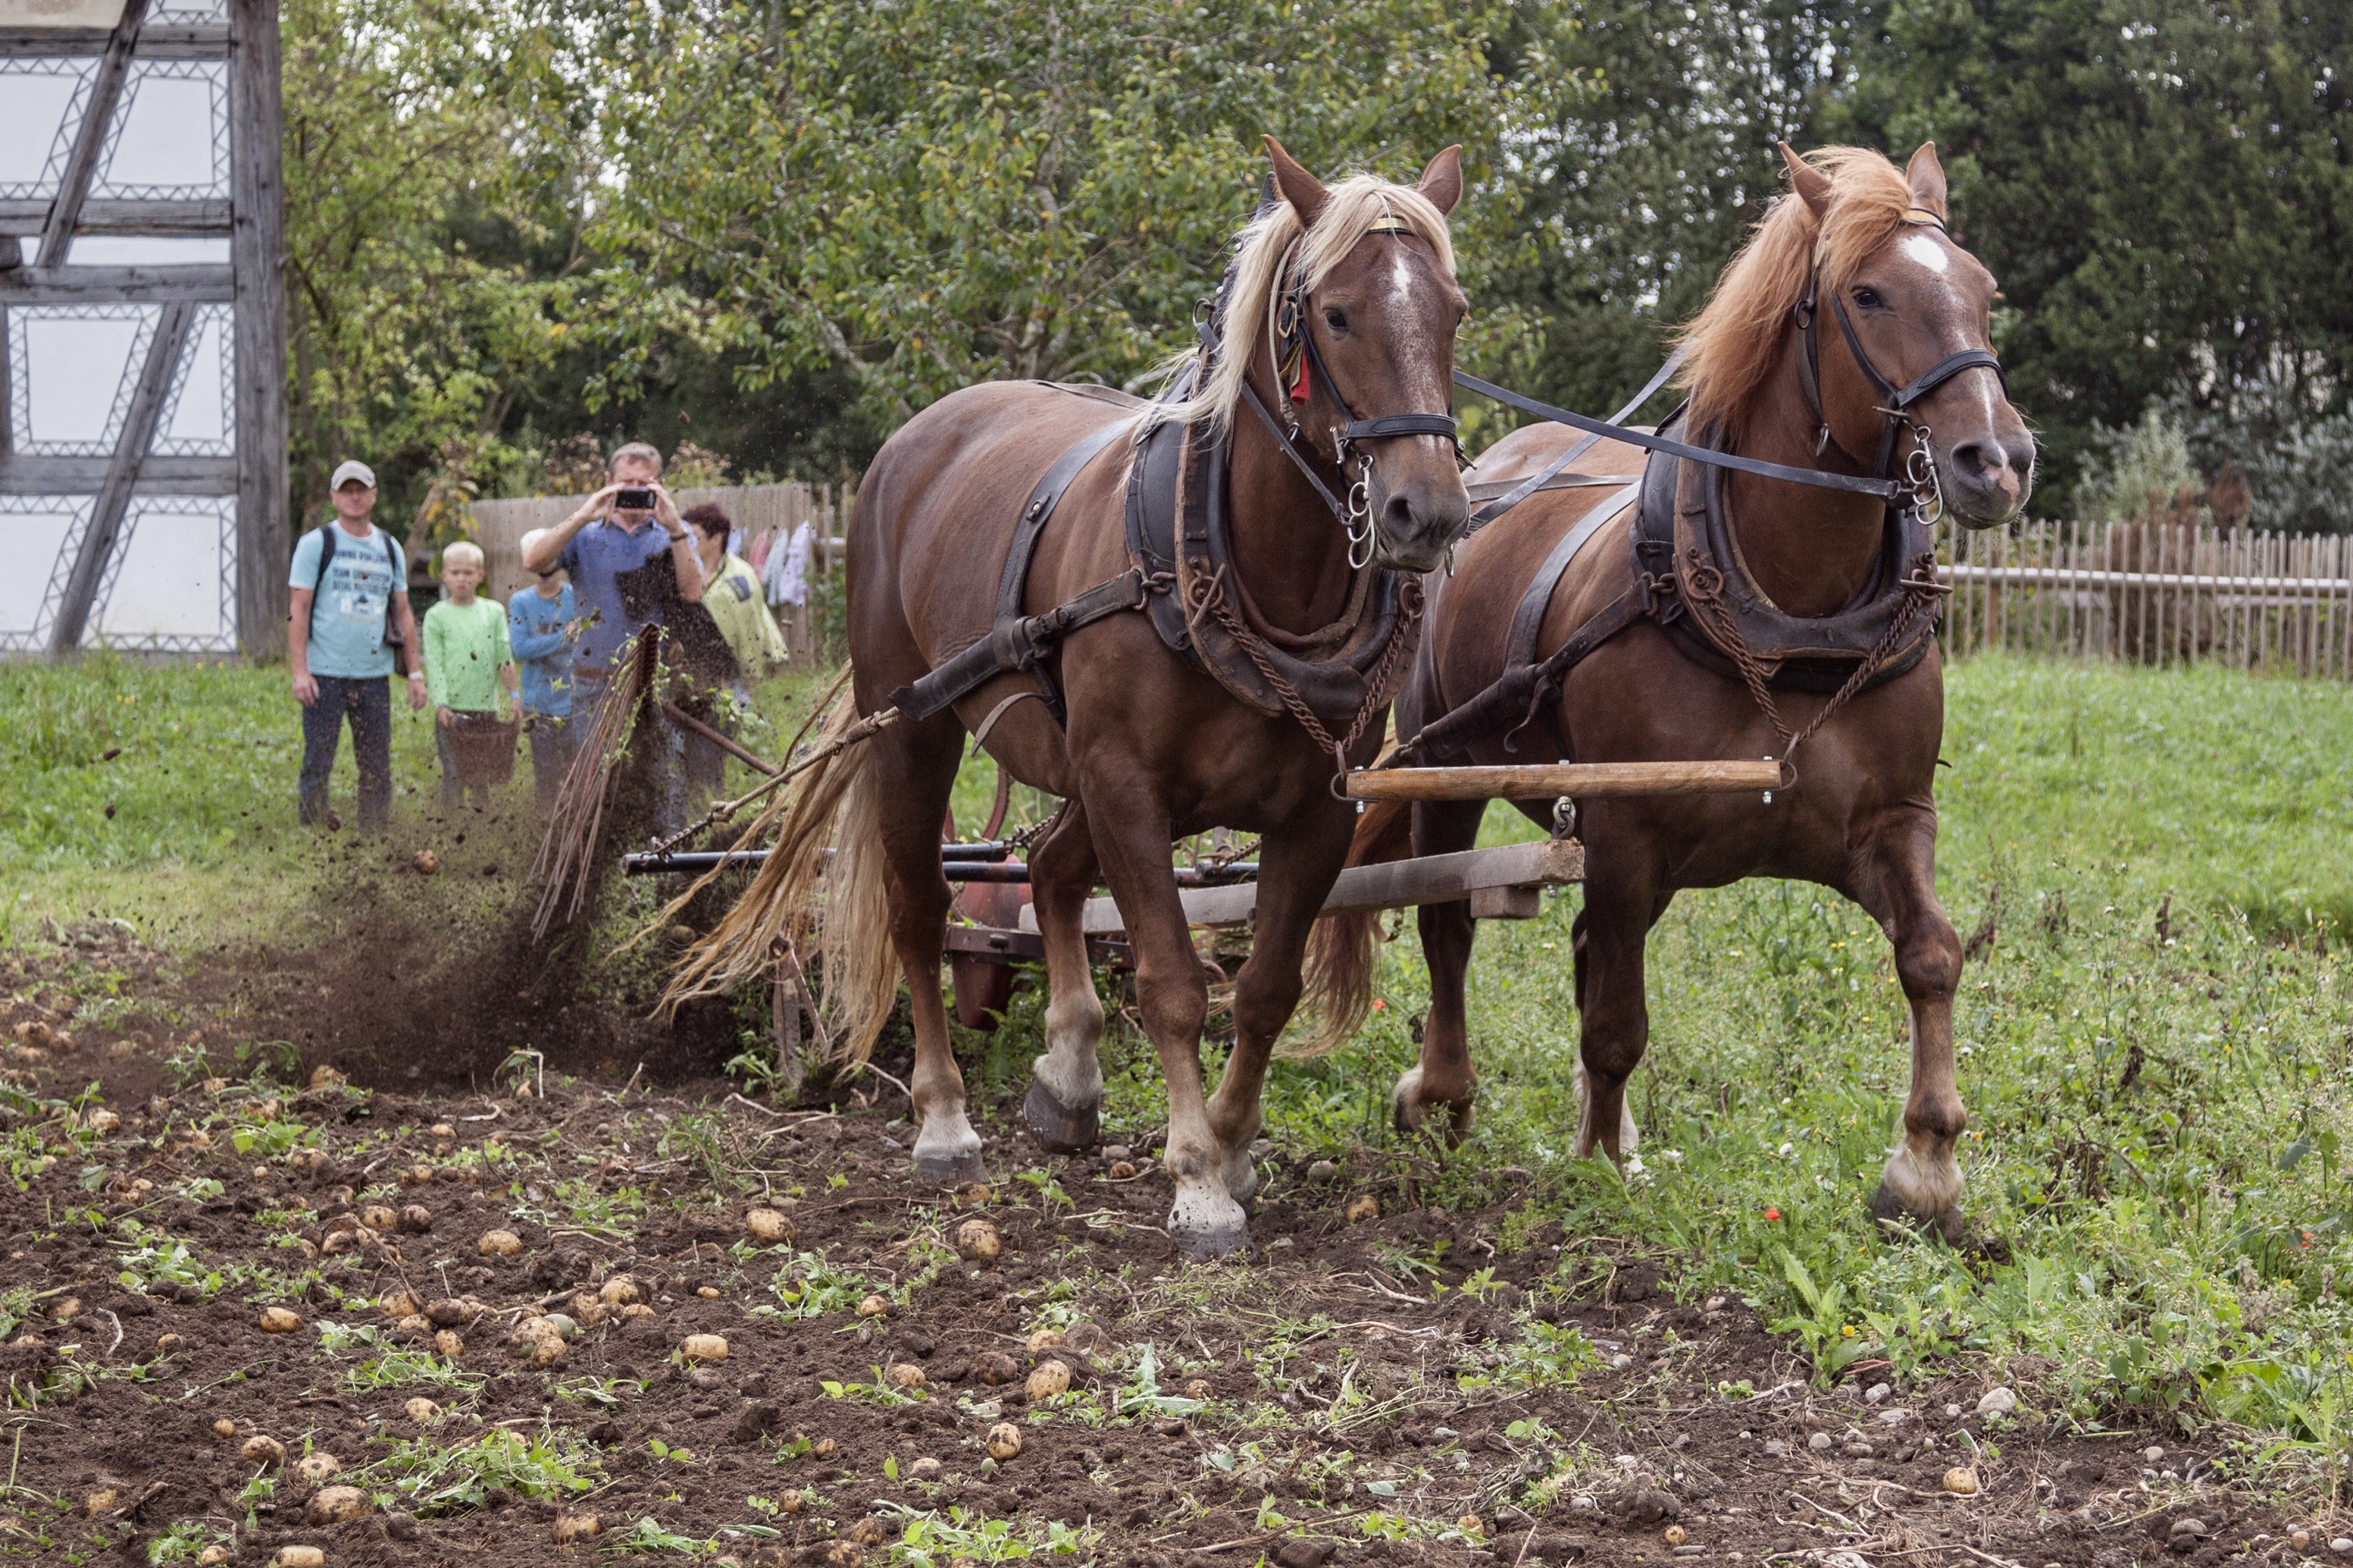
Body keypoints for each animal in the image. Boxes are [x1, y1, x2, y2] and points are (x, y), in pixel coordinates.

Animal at [663, 140, 1468, 1252]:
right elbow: (1173, 982)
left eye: (1453, 311)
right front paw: (1197, 1176)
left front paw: (1232, 1142)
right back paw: (945, 1121)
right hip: (916, 729)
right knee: (922, 909)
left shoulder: (1316, 807)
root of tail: (918, 436)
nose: (1424, 513)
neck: (1239, 565)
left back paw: (1068, 1074)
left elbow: (1264, 988)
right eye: (1339, 313)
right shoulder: (1126, 780)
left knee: (1044, 867)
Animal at [1318, 143, 2032, 1242]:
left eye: (1982, 290)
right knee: (1448, 929)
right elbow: (1616, 1021)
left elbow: (1932, 956)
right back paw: (1442, 1093)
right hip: (1445, 767)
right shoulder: (1624, 832)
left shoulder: (1891, 821)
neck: (1789, 617)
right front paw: (1602, 1165)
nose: (1997, 459)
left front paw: (1925, 1168)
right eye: (1866, 295)